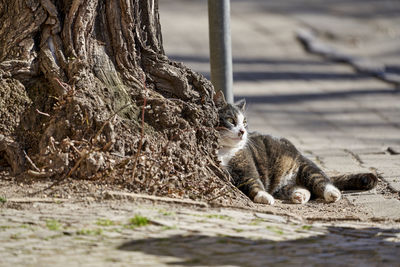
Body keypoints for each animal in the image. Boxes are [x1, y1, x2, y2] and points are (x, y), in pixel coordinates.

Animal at [214, 92, 376, 205]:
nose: (243, 131)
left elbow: (255, 183)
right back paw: (300, 195)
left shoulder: (247, 170)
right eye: (231, 120)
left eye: (245, 122)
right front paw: (266, 197)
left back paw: (332, 193)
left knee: (322, 181)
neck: (225, 151)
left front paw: (265, 197)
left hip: (305, 168)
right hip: (284, 186)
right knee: (305, 189)